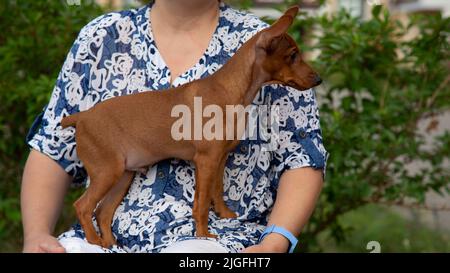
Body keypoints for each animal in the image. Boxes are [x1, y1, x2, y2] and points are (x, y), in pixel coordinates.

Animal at [60, 6, 320, 248]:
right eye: (293, 55)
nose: (318, 80)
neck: (229, 90)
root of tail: (82, 117)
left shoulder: (219, 158)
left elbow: (217, 190)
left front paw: (224, 215)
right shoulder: (205, 160)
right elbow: (202, 202)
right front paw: (204, 233)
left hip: (123, 174)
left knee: (103, 212)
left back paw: (109, 244)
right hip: (107, 171)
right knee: (83, 206)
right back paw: (94, 241)